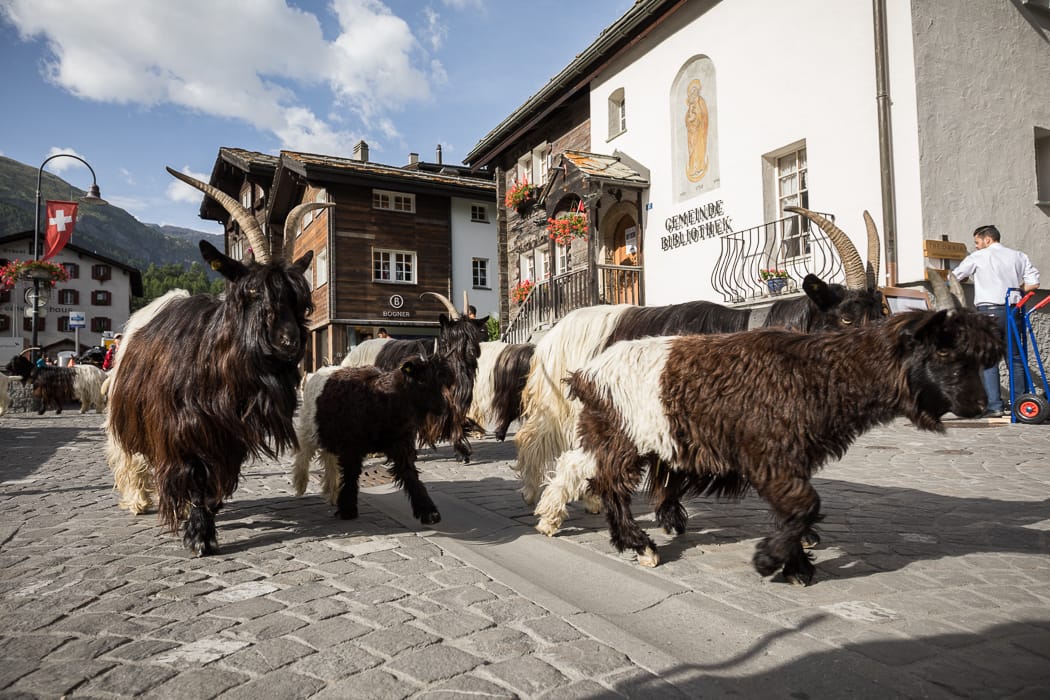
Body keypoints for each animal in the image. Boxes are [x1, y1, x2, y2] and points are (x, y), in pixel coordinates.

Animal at [105, 167, 327, 556]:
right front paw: (199, 535)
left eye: (297, 297)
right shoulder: (181, 427)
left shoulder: (227, 434)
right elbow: (193, 475)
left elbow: (212, 480)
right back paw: (138, 500)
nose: (289, 342)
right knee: (132, 457)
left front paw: (205, 517)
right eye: (251, 292)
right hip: (128, 412)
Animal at [291, 355, 454, 525]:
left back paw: (332, 492)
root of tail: (323, 370)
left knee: (328, 458)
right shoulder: (352, 446)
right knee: (304, 451)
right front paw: (348, 510)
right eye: (422, 380)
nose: (443, 407)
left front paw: (429, 512)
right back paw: (300, 483)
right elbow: (351, 474)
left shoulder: (401, 444)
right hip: (311, 426)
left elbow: (410, 474)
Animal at [522, 208, 887, 534]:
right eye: (846, 318)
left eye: (881, 316)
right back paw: (536, 498)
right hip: (567, 407)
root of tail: (554, 333)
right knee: (536, 439)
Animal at [564, 308, 1002, 585]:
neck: (820, 374)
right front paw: (771, 562)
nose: (979, 405)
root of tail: (587, 372)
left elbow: (796, 510)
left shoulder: (786, 459)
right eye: (942, 349)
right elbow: (804, 505)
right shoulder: (769, 454)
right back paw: (640, 545)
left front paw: (795, 564)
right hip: (620, 435)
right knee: (611, 485)